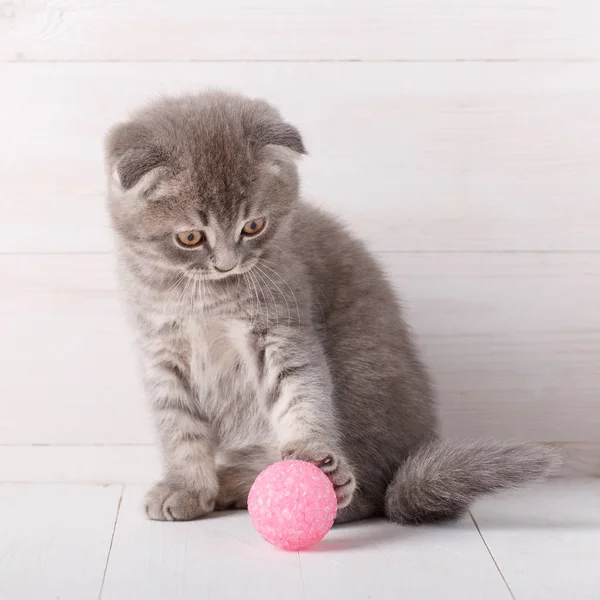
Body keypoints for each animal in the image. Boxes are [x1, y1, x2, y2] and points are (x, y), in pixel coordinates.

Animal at [105, 90, 560, 524]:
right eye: (190, 237)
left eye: (253, 226)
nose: (226, 264)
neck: (203, 297)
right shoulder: (162, 351)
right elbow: (179, 426)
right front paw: (186, 489)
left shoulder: (280, 325)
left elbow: (299, 391)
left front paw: (310, 457)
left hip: (358, 371)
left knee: (367, 491)